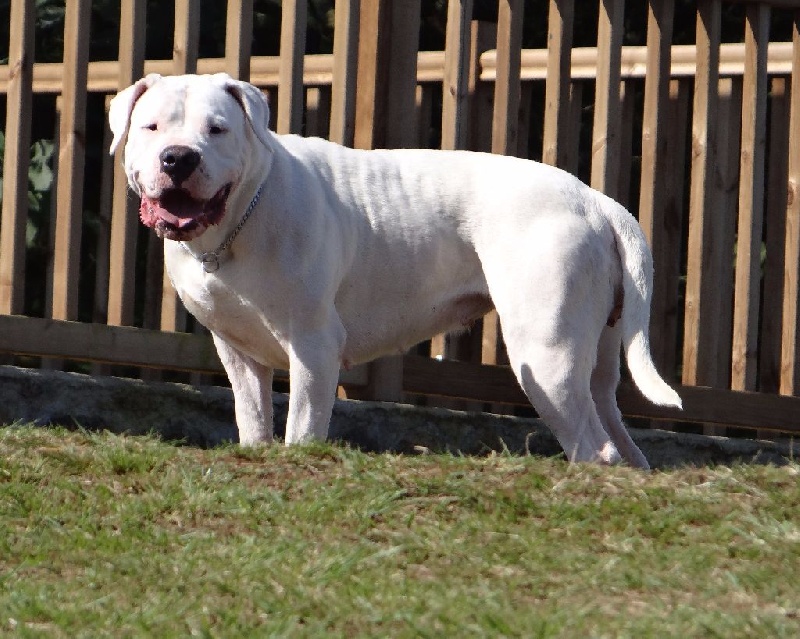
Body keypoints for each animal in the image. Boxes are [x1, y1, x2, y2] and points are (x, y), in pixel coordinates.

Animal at [108, 74, 680, 470]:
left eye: (218, 129)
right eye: (151, 127)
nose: (178, 158)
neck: (240, 218)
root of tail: (595, 200)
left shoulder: (314, 346)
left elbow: (302, 426)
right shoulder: (238, 352)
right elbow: (254, 422)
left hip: (546, 355)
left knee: (593, 445)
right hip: (595, 359)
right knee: (616, 431)